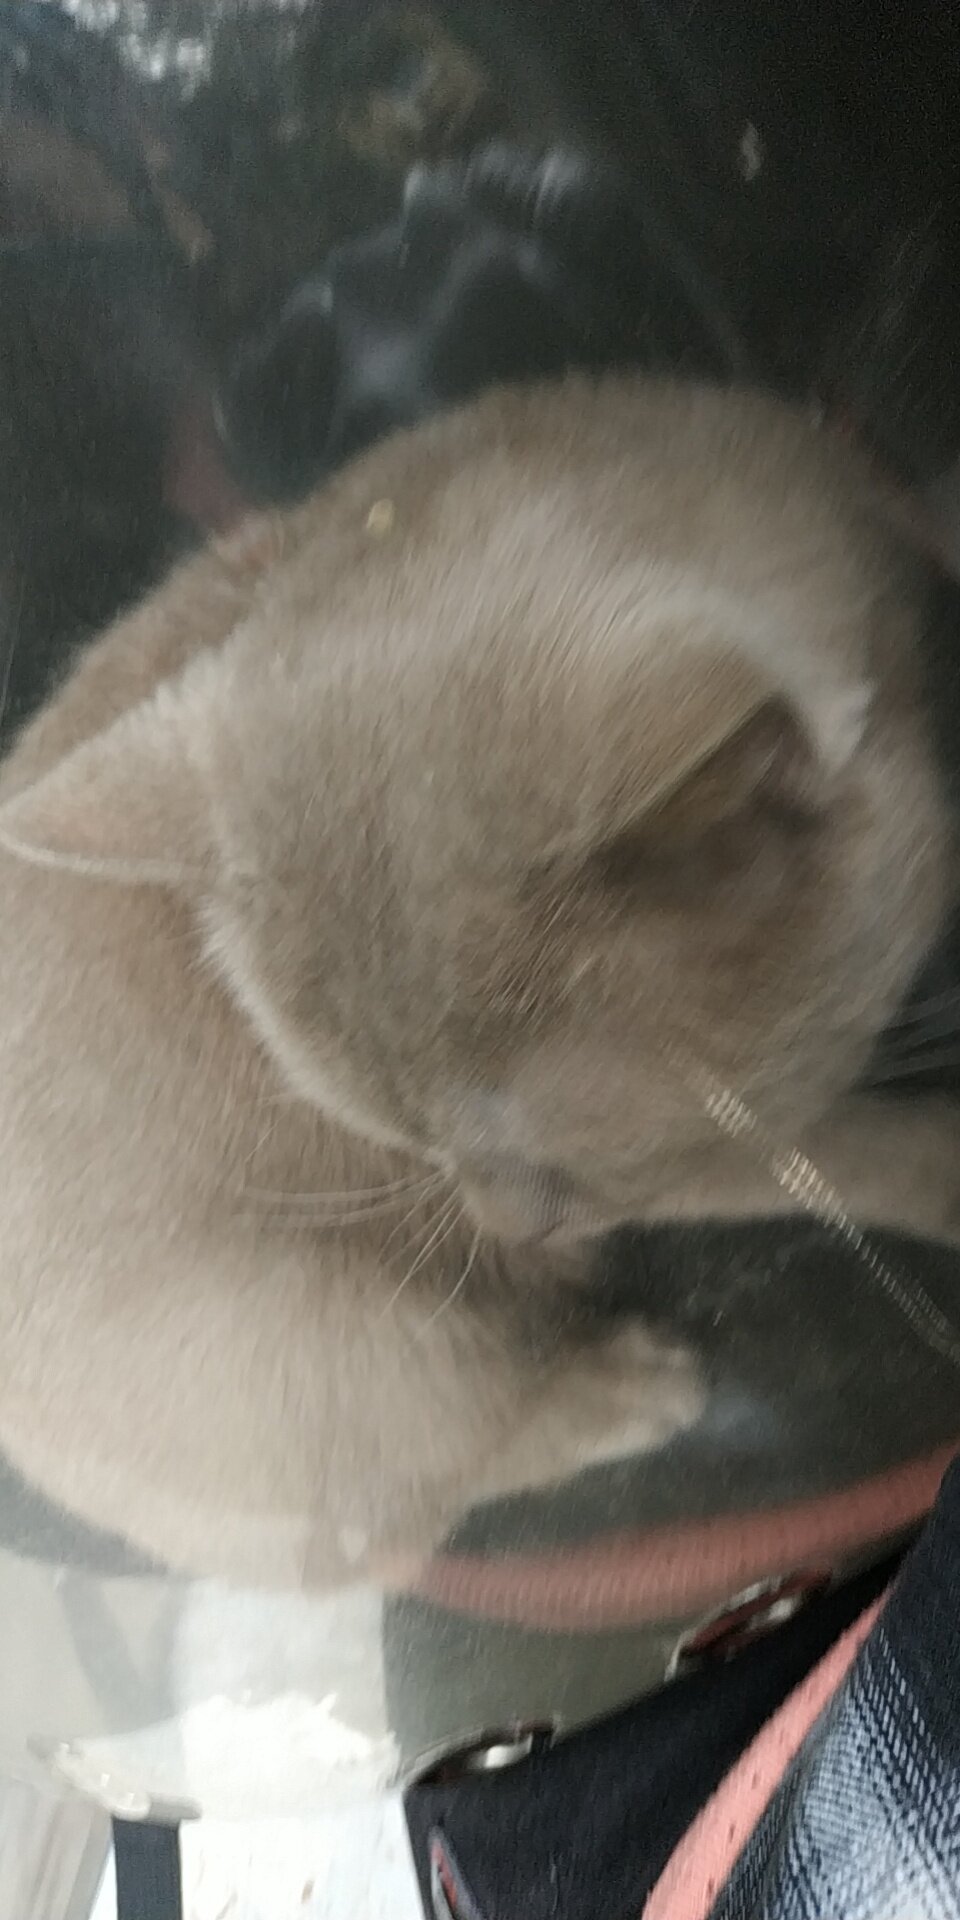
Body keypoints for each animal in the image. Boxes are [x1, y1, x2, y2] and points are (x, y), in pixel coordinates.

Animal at [0, 373, 957, 1591]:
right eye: (409, 1144)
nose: (509, 1227)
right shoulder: (705, 1158)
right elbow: (854, 1153)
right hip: (344, 1347)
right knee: (422, 1491)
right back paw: (625, 1383)